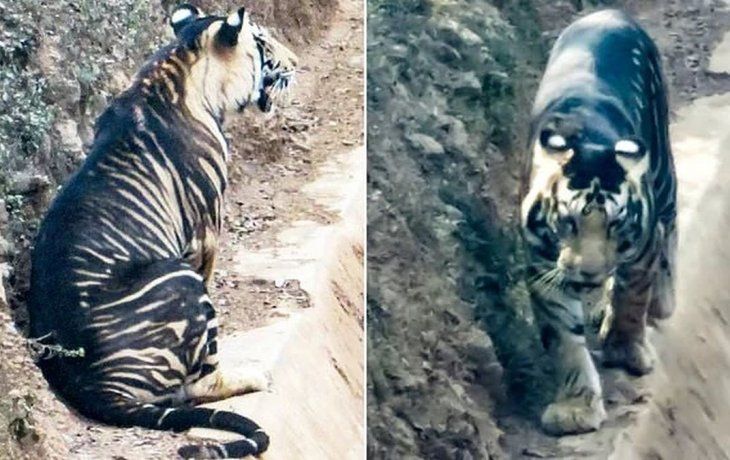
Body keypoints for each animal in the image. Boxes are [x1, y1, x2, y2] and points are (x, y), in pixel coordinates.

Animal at [26, 3, 297, 457]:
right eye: (262, 42)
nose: (295, 62)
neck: (181, 66)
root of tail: (93, 387)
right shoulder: (206, 233)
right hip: (179, 280)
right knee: (194, 386)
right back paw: (253, 375)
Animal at [520, 9, 677, 435]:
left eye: (616, 225)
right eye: (568, 222)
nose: (589, 273)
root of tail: (610, 13)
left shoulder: (642, 248)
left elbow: (631, 299)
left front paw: (625, 350)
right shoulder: (542, 266)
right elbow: (564, 341)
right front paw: (575, 409)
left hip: (663, 171)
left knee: (671, 225)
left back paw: (664, 301)